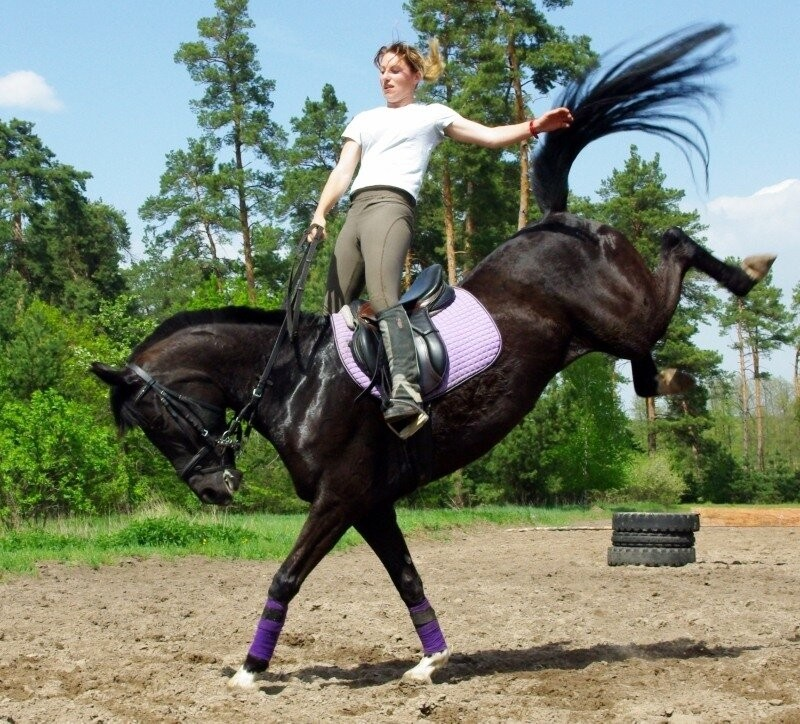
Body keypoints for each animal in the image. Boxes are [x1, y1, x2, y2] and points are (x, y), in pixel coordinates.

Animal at [90, 24, 772, 692]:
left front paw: (250, 670)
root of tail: (557, 221)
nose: (213, 490)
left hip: (627, 314)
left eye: (157, 420)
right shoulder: (370, 503)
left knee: (674, 248)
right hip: (616, 332)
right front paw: (431, 658)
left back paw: (748, 274)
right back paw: (680, 372)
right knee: (647, 359)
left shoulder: (340, 497)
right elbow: (406, 576)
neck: (295, 381)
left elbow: (287, 574)